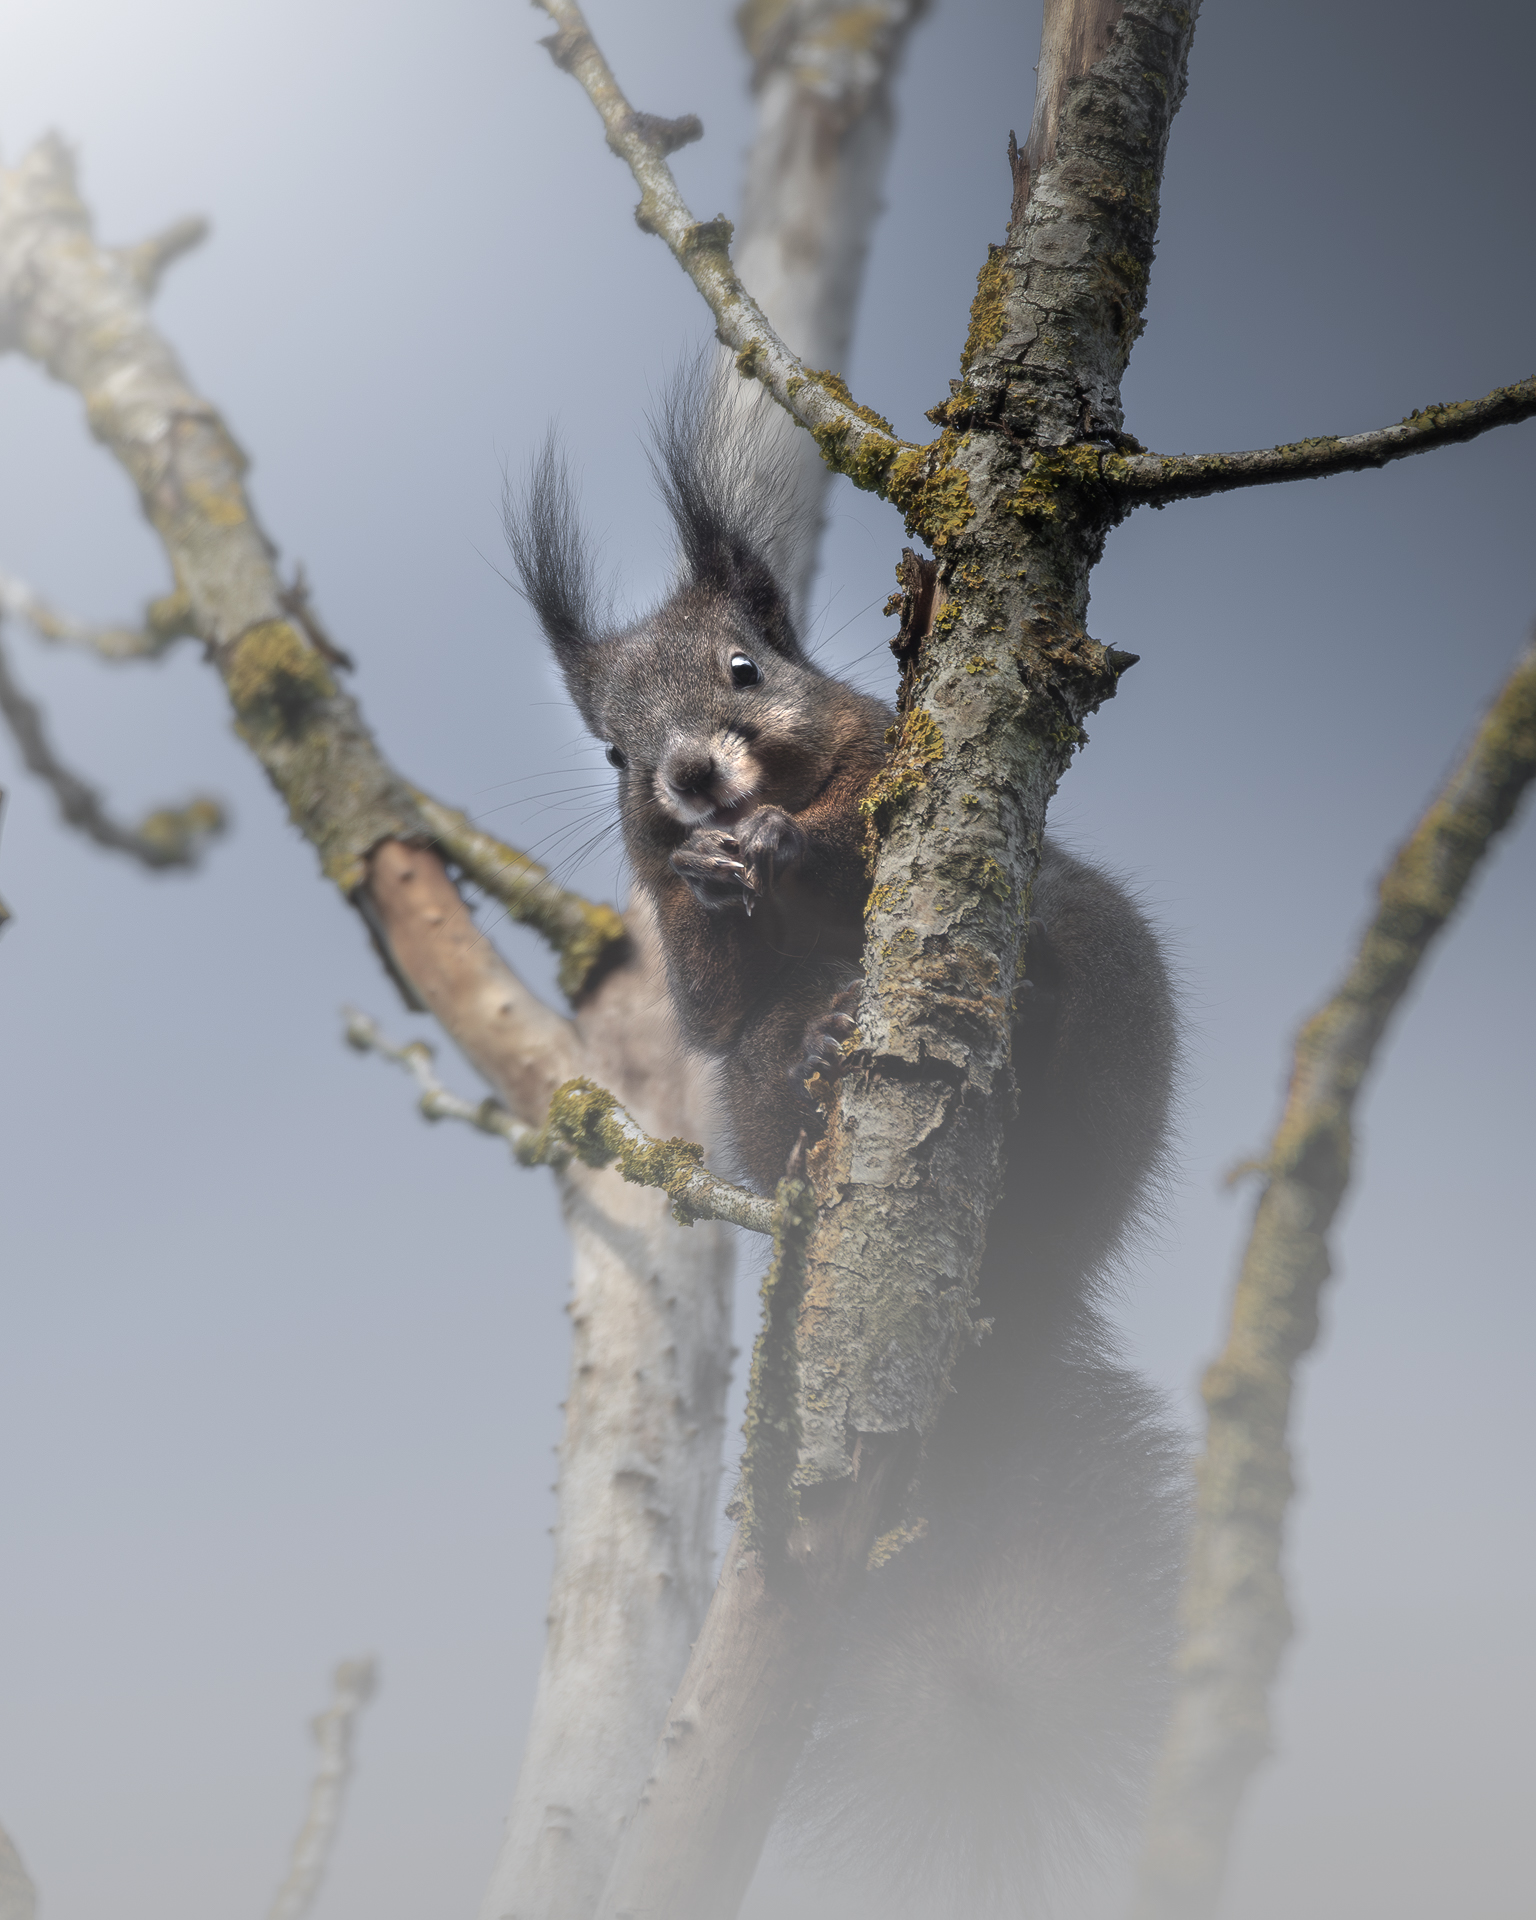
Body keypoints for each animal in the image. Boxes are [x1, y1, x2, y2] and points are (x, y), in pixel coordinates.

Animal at [507, 377, 1187, 1916]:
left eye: (746, 666)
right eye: (614, 752)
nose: (693, 778)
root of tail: (1028, 1290)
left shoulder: (891, 755)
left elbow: (856, 830)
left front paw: (793, 848)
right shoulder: (680, 950)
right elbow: (712, 993)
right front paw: (725, 880)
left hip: (1097, 973)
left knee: (1057, 958)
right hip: (760, 1107)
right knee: (774, 1046)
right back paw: (824, 1040)